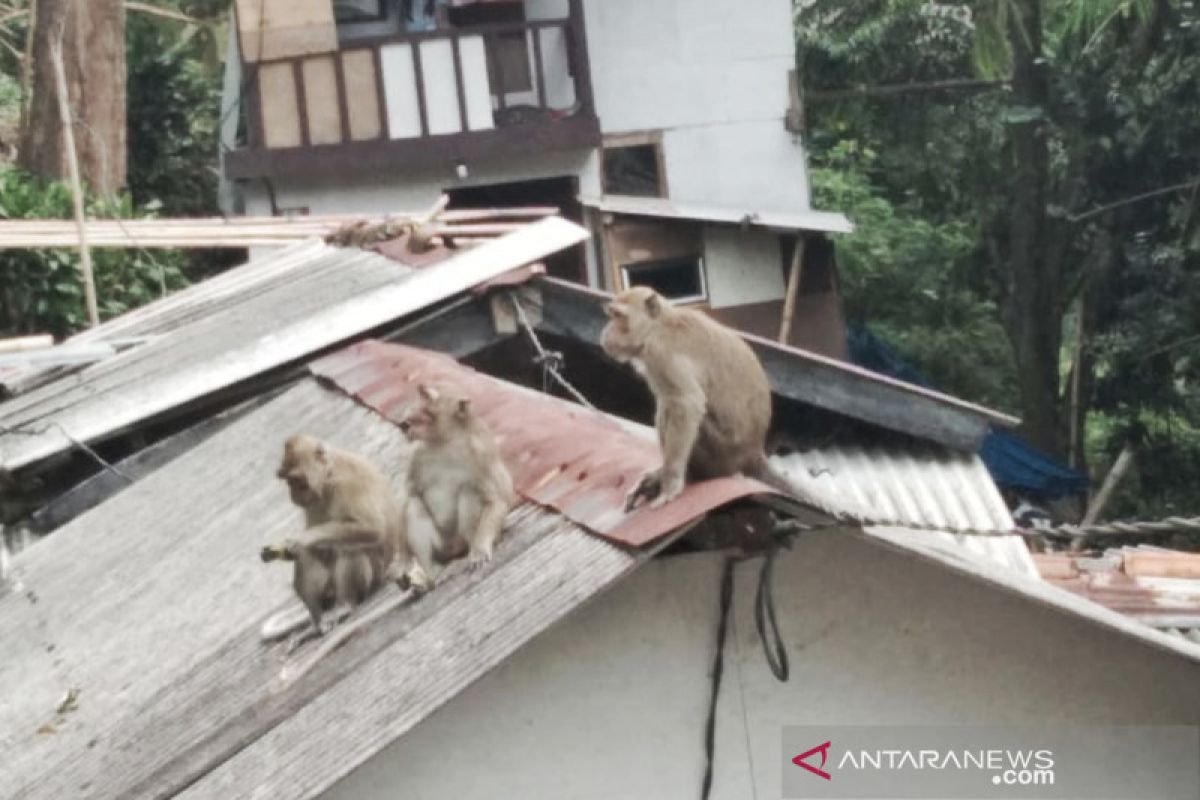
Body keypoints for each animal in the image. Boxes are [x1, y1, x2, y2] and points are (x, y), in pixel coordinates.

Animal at [398, 383, 516, 592]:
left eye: (427, 404)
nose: (404, 423)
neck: (447, 441)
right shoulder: (416, 457)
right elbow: (409, 496)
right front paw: (404, 562)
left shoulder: (482, 455)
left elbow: (497, 499)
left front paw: (480, 550)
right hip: (441, 545)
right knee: (413, 505)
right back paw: (430, 577)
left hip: (460, 539)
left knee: (470, 492)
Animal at [600, 287, 787, 513]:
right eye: (612, 316)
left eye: (618, 316)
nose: (606, 331)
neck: (659, 325)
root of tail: (754, 453)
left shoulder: (662, 354)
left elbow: (687, 404)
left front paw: (670, 484)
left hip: (720, 455)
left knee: (670, 407)